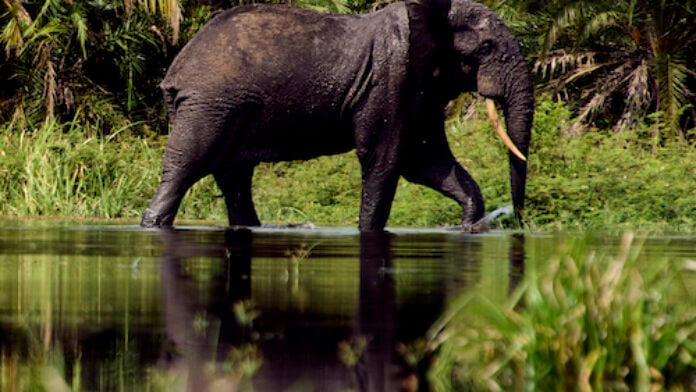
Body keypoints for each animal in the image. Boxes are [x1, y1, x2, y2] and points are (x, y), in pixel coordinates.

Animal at [140, 0, 532, 233]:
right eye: (486, 48)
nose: (518, 222)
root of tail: (176, 71)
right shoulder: (388, 80)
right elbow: (386, 159)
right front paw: (367, 232)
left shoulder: (420, 90)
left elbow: (426, 161)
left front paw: (468, 227)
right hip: (209, 106)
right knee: (186, 167)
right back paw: (152, 225)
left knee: (234, 177)